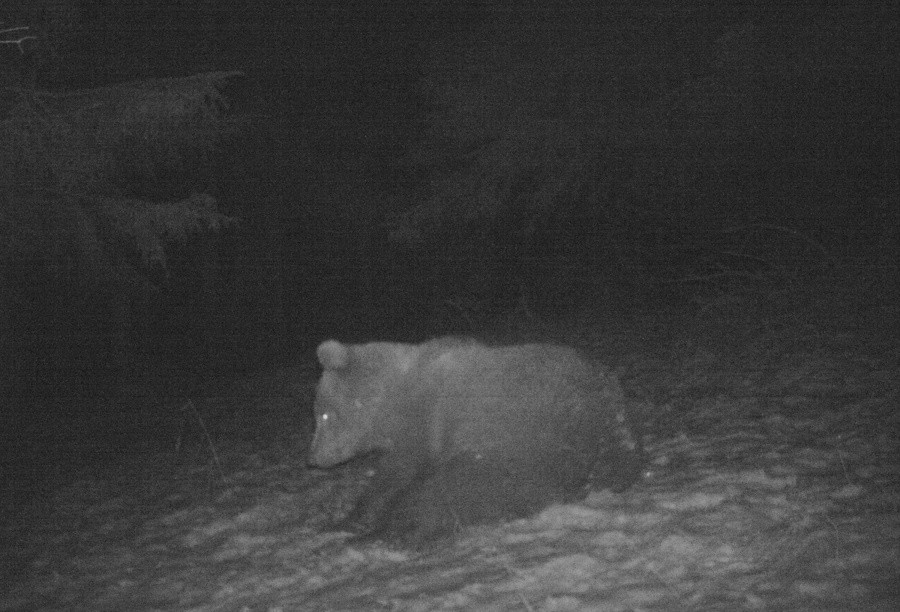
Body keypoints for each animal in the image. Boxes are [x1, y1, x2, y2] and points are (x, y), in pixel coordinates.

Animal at [306, 340, 644, 544]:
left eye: (323, 414)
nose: (313, 459)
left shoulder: (423, 425)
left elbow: (394, 476)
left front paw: (351, 519)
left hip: (535, 437)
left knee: (456, 489)